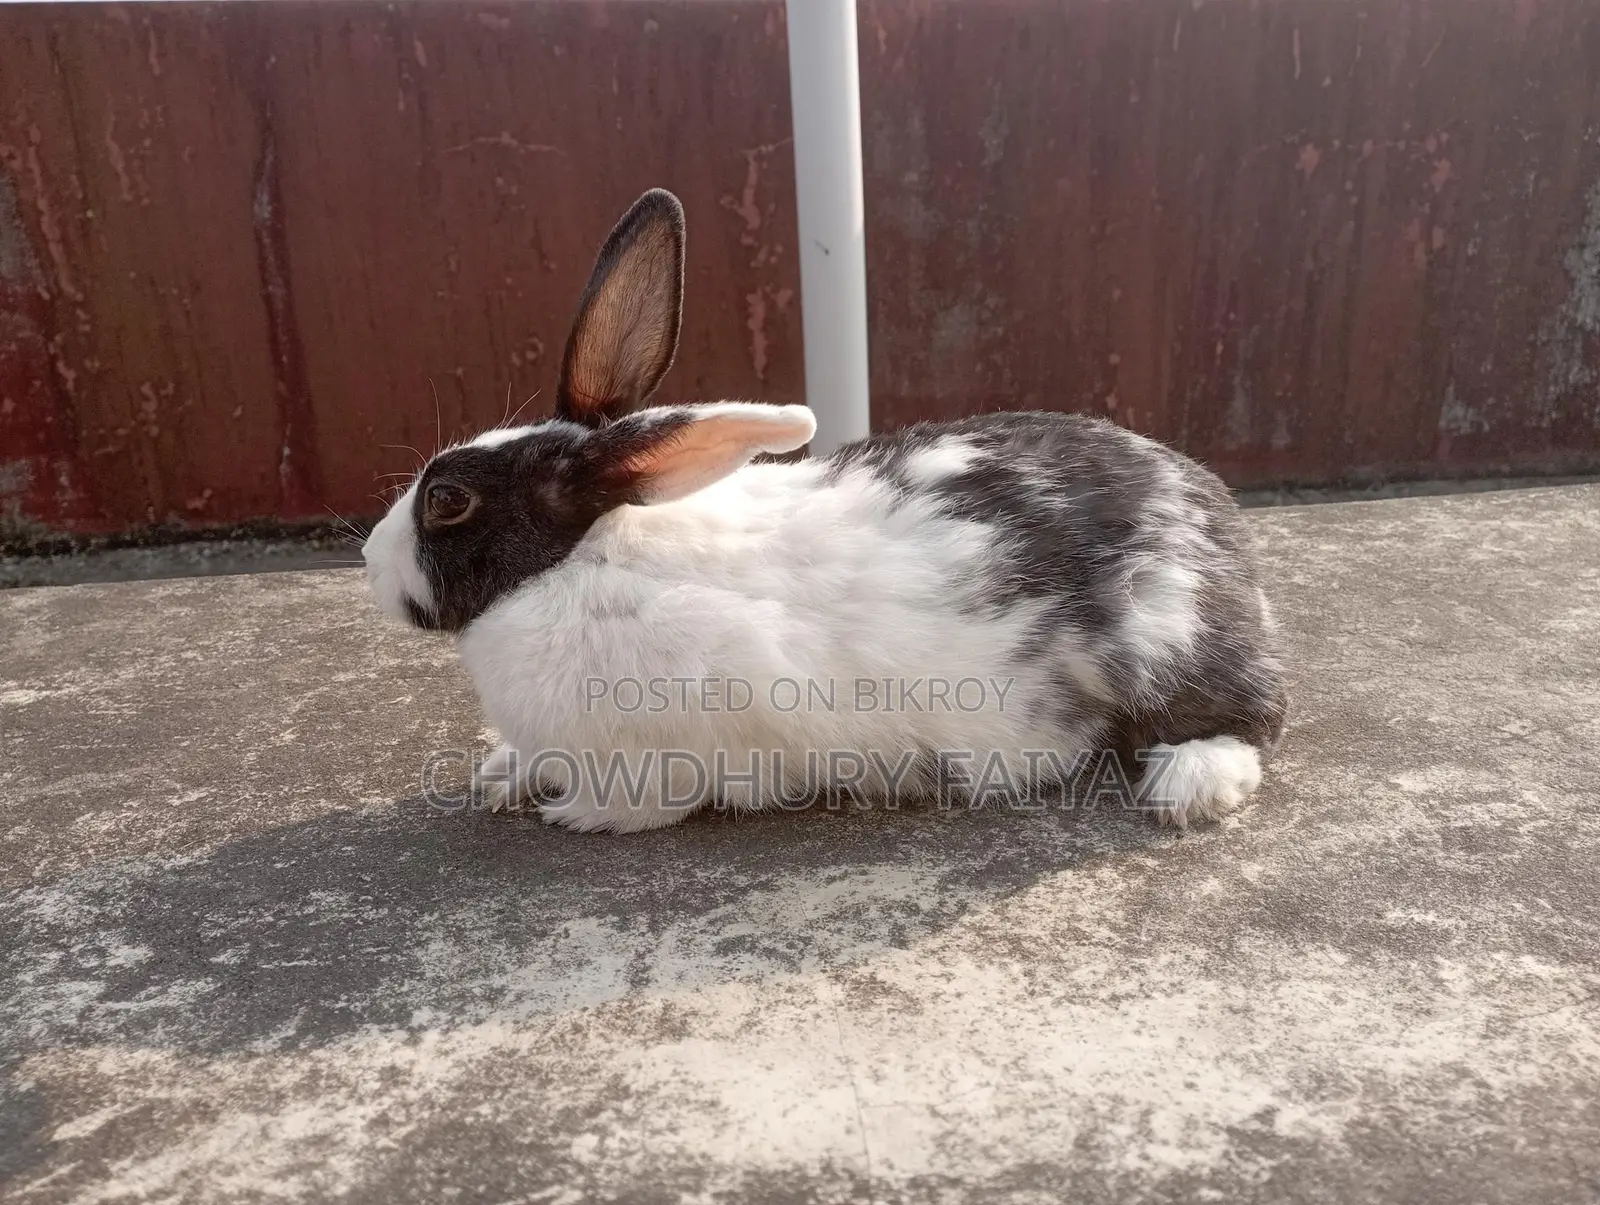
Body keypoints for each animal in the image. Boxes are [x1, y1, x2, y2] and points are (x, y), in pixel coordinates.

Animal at [362, 187, 1288, 833]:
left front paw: (575, 813)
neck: (580, 558)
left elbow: (647, 800)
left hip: (1169, 648)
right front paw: (501, 776)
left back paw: (1189, 786)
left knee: (1253, 720)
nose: (369, 561)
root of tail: (1216, 517)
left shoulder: (676, 741)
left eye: (447, 500)